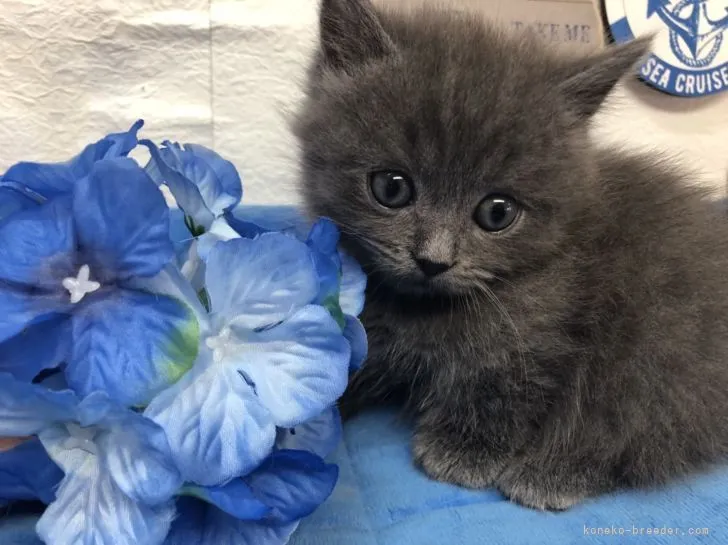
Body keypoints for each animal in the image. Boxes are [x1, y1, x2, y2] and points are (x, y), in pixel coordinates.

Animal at [292, 0, 728, 510]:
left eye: (497, 213)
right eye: (391, 188)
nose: (433, 260)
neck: (422, 309)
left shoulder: (535, 328)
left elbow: (505, 381)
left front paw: (465, 452)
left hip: (657, 341)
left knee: (644, 427)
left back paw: (551, 474)